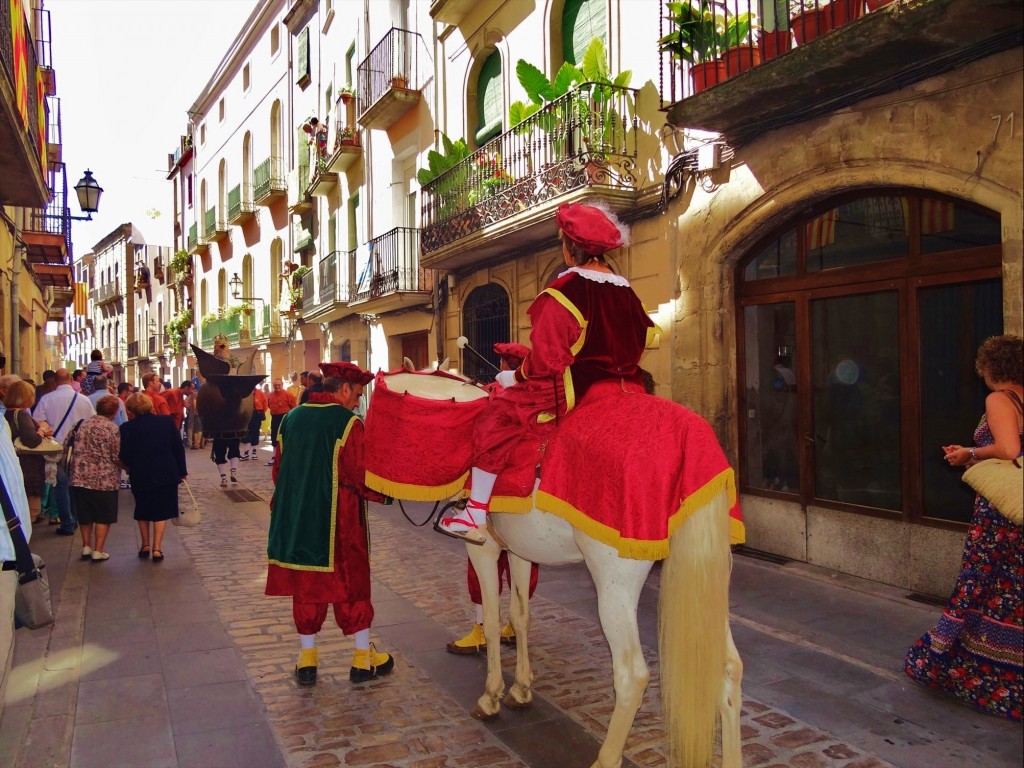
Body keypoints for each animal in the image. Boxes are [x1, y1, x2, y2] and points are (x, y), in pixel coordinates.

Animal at [368, 370, 745, 765]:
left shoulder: (484, 550)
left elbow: (492, 621)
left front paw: (490, 696)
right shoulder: (520, 552)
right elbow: (520, 617)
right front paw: (520, 689)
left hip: (615, 585)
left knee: (632, 675)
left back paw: (605, 757)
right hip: (705, 579)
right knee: (728, 667)